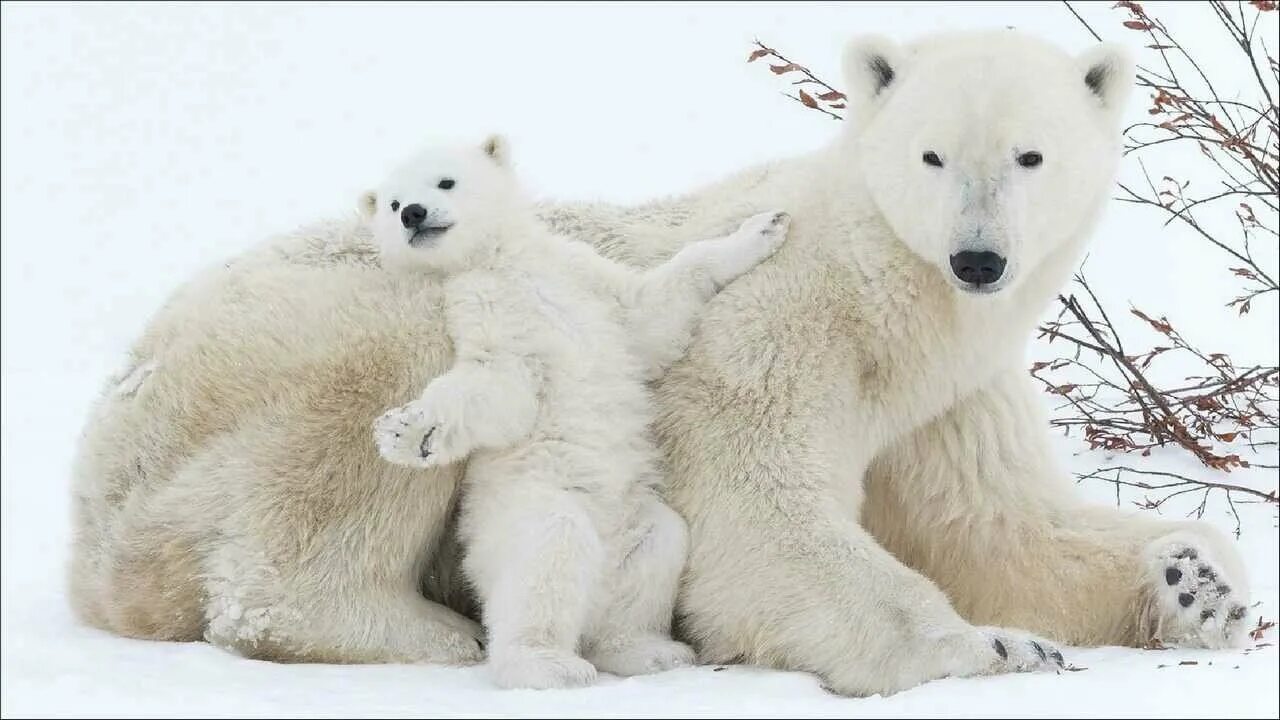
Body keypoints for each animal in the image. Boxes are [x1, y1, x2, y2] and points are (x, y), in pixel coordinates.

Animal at [70, 30, 1249, 691]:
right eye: (930, 155)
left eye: (1029, 155)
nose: (976, 257)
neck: (890, 303)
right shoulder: (778, 332)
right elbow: (755, 512)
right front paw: (990, 650)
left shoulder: (946, 397)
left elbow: (993, 525)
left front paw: (1195, 581)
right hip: (312, 342)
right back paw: (433, 629)